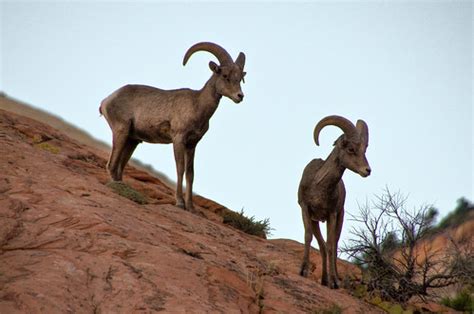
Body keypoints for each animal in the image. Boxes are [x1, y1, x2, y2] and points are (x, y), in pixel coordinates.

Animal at [100, 41, 248, 212]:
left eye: (240, 78)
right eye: (225, 75)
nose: (240, 96)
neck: (197, 106)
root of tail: (106, 100)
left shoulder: (192, 145)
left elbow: (190, 174)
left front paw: (191, 207)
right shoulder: (178, 140)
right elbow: (180, 169)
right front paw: (180, 203)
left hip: (133, 140)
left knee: (119, 167)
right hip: (121, 132)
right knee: (112, 165)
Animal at [298, 114, 372, 290]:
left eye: (364, 150)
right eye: (351, 149)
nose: (367, 170)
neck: (319, 187)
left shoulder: (331, 214)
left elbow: (331, 245)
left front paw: (334, 282)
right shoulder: (306, 209)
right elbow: (308, 237)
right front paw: (303, 271)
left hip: (340, 218)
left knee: (333, 245)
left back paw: (334, 279)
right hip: (317, 221)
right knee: (322, 246)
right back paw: (324, 280)